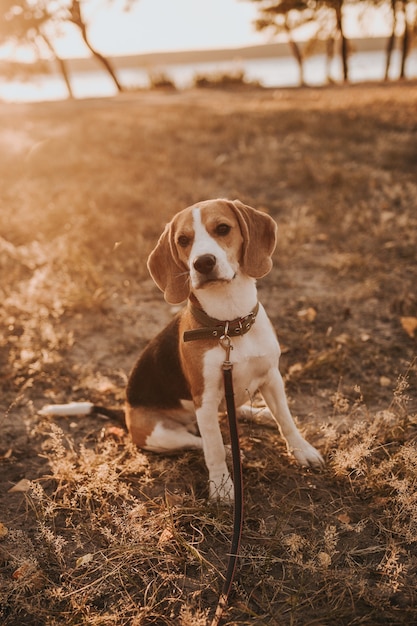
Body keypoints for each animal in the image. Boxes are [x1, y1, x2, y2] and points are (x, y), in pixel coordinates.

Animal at [41, 197, 322, 500]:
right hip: (161, 433)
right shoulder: (205, 398)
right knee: (198, 440)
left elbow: (286, 420)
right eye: (183, 240)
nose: (203, 263)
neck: (228, 325)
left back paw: (258, 413)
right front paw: (222, 486)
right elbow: (212, 448)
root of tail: (125, 411)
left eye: (223, 229)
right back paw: (228, 447)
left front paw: (302, 451)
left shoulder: (272, 377)